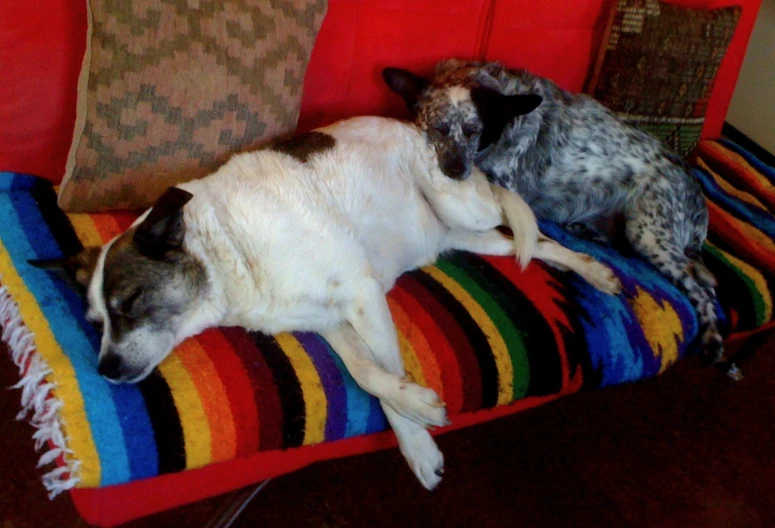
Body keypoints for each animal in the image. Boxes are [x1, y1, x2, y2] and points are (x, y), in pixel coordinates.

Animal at [34, 116, 620, 490]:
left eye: (131, 303)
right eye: (95, 320)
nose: (105, 370)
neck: (228, 251)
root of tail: (422, 128)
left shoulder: (362, 295)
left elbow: (387, 371)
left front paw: (419, 421)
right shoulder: (331, 322)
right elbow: (369, 375)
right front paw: (414, 423)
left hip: (462, 206)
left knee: (513, 209)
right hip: (466, 238)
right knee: (534, 244)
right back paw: (592, 270)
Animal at [384, 58, 736, 376]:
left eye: (474, 131)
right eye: (438, 128)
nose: (455, 170)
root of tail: (698, 201)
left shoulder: (504, 187)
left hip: (648, 233)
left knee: (704, 290)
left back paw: (713, 340)